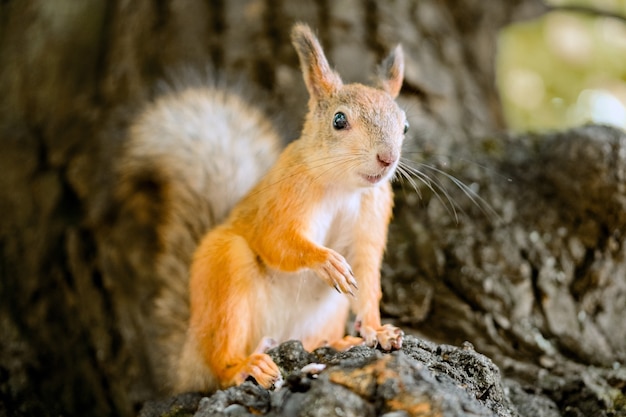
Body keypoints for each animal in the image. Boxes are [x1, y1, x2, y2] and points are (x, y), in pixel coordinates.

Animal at [120, 22, 408, 394]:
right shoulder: (282, 199)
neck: (344, 186)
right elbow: (276, 241)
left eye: (405, 126)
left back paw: (337, 342)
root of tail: (189, 360)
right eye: (339, 120)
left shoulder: (374, 209)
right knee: (220, 364)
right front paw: (325, 261)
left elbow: (367, 274)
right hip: (226, 273)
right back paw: (244, 366)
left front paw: (377, 329)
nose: (387, 159)